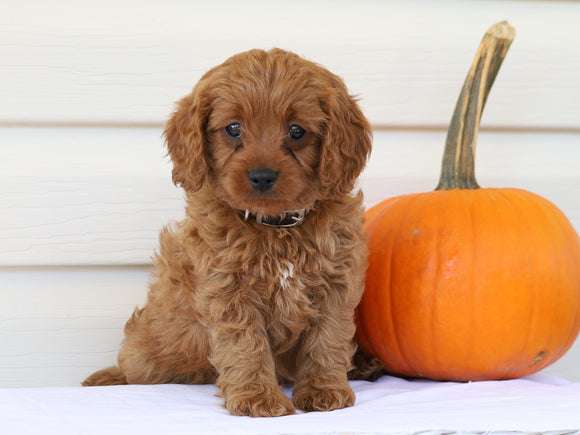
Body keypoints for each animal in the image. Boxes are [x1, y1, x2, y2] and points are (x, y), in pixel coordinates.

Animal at [84, 48, 374, 418]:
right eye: (233, 129)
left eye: (296, 131)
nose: (262, 176)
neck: (275, 225)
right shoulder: (228, 289)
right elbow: (246, 344)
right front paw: (257, 398)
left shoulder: (336, 282)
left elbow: (328, 338)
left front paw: (324, 390)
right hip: (151, 353)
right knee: (135, 368)